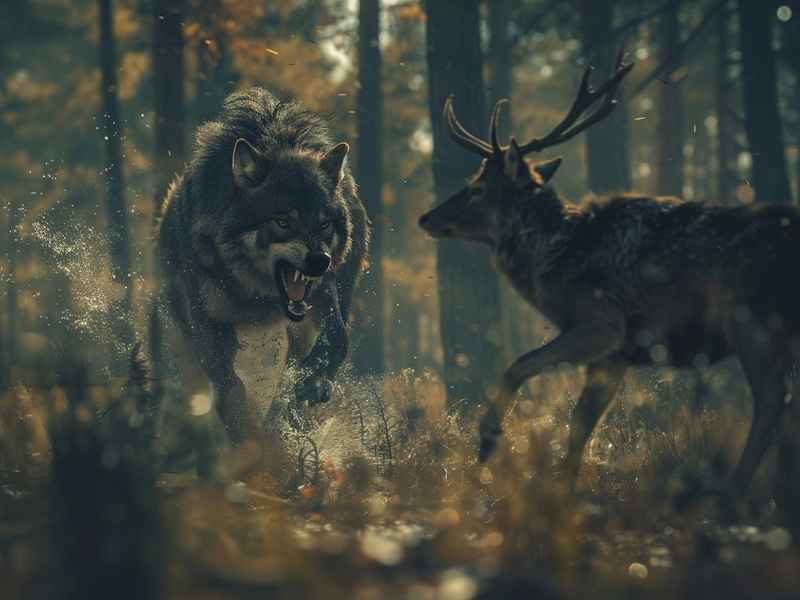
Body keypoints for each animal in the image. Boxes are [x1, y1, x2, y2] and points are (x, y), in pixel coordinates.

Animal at [418, 53, 800, 494]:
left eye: (477, 187)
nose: (426, 217)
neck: (555, 260)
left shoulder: (603, 323)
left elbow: (520, 364)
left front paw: (487, 441)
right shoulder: (615, 357)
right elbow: (580, 426)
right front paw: (562, 488)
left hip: (755, 321)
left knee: (774, 400)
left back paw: (736, 488)